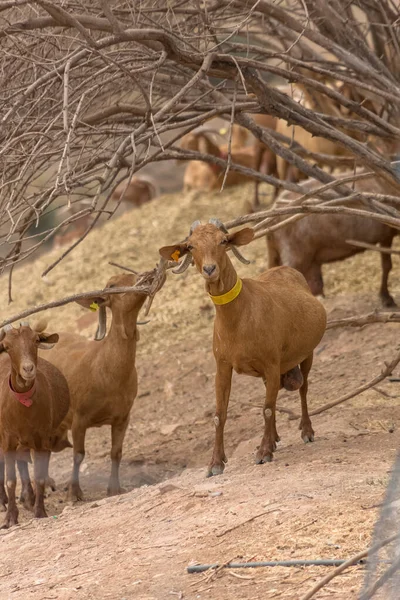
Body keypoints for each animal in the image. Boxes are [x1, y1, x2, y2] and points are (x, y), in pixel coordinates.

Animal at [0, 322, 69, 528]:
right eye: (6, 346)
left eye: (36, 340)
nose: (28, 369)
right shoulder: (7, 439)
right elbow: (10, 480)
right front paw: (10, 518)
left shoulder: (42, 438)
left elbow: (39, 476)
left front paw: (40, 512)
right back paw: (4, 503)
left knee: (23, 461)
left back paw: (28, 499)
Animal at [40, 274, 148, 502]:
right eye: (112, 286)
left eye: (134, 275)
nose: (145, 277)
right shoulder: (79, 418)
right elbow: (78, 455)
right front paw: (74, 493)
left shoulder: (123, 417)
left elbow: (116, 452)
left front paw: (114, 489)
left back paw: (45, 483)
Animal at [158, 218, 326, 476]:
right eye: (191, 246)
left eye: (223, 240)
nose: (210, 270)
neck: (240, 316)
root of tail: (288, 269)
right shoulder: (223, 366)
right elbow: (220, 415)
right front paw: (216, 463)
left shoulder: (271, 362)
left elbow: (266, 409)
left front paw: (263, 454)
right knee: (275, 395)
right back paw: (274, 439)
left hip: (305, 354)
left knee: (304, 388)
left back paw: (306, 432)